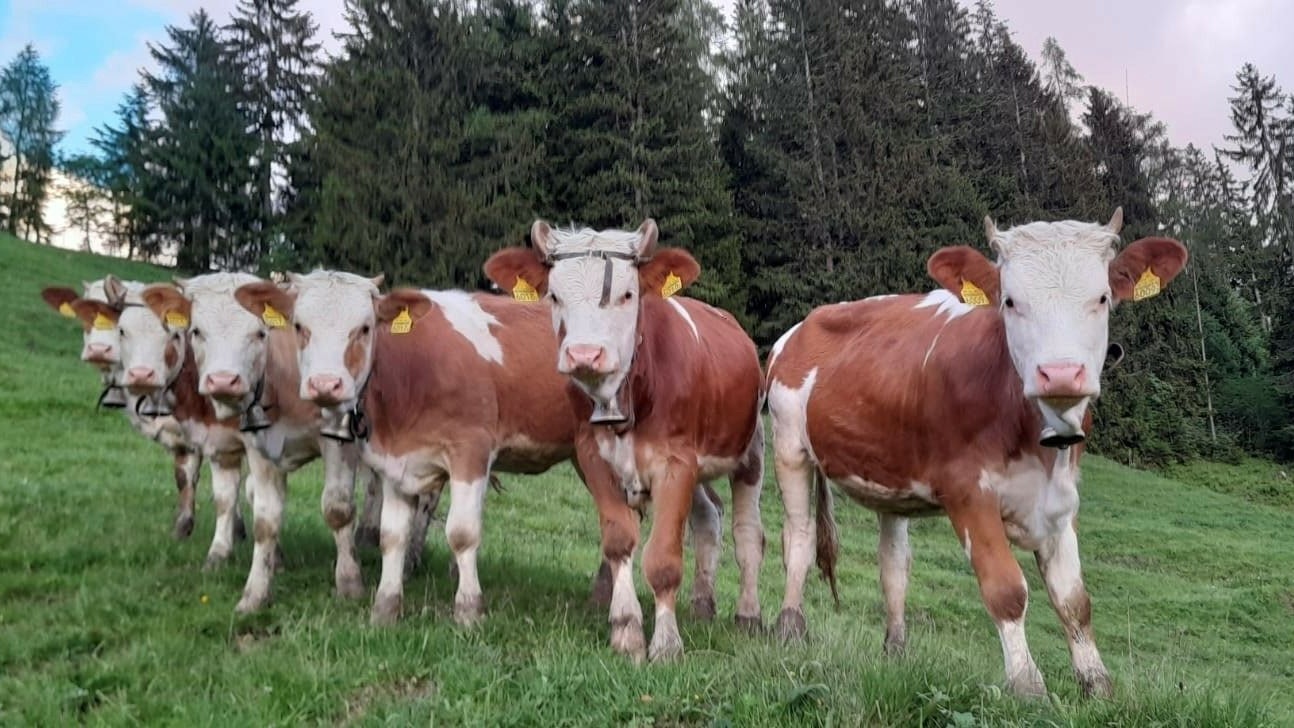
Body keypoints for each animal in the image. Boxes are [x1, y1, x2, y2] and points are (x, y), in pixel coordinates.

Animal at [140, 274, 375, 613]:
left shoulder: (338, 441)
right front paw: (251, 587)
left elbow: (337, 509)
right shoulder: (251, 447)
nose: (223, 380)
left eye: (260, 333)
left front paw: (350, 583)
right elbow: (257, 515)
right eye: (197, 331)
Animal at [232, 270, 653, 627]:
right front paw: (385, 608)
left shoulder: (471, 450)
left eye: (364, 328)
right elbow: (392, 536)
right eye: (299, 327)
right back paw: (602, 595)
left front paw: (469, 611)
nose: (325, 384)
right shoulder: (395, 462)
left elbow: (462, 533)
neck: (410, 372)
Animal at [484, 219, 766, 662]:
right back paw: (702, 605)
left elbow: (664, 558)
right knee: (708, 518)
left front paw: (666, 645)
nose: (585, 354)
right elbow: (619, 542)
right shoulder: (593, 458)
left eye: (628, 294)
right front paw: (626, 630)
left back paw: (748, 616)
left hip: (750, 451)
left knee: (749, 533)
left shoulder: (675, 464)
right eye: (554, 295)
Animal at [765, 209, 1188, 697]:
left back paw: (896, 652)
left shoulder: (1063, 500)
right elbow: (1007, 590)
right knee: (798, 538)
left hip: (890, 476)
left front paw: (1097, 685)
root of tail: (805, 324)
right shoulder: (968, 492)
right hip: (789, 444)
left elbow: (1073, 600)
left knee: (893, 565)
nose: (1061, 373)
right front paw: (1027, 685)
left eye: (1102, 298)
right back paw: (790, 628)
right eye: (1009, 301)